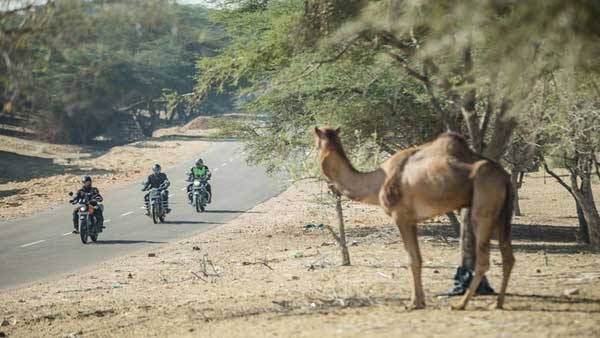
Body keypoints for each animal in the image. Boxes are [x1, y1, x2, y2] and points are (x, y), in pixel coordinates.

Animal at [312, 126, 512, 308]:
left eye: (316, 144)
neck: (377, 182)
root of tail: (505, 176)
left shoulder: (402, 216)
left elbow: (413, 259)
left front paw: (414, 303)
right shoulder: (412, 220)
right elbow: (418, 258)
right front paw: (420, 300)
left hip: (483, 205)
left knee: (484, 260)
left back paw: (460, 304)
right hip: (502, 214)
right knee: (508, 256)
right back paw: (498, 303)